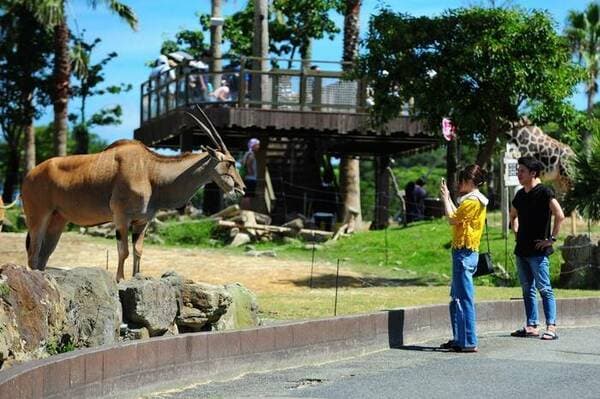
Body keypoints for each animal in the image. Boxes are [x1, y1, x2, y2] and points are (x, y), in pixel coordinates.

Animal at [23, 106, 244, 282]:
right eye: (230, 163)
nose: (241, 189)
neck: (151, 171)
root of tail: (29, 175)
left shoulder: (141, 222)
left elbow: (138, 250)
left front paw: (137, 276)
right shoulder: (122, 218)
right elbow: (124, 251)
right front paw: (120, 279)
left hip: (57, 220)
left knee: (43, 255)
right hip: (38, 218)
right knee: (34, 253)